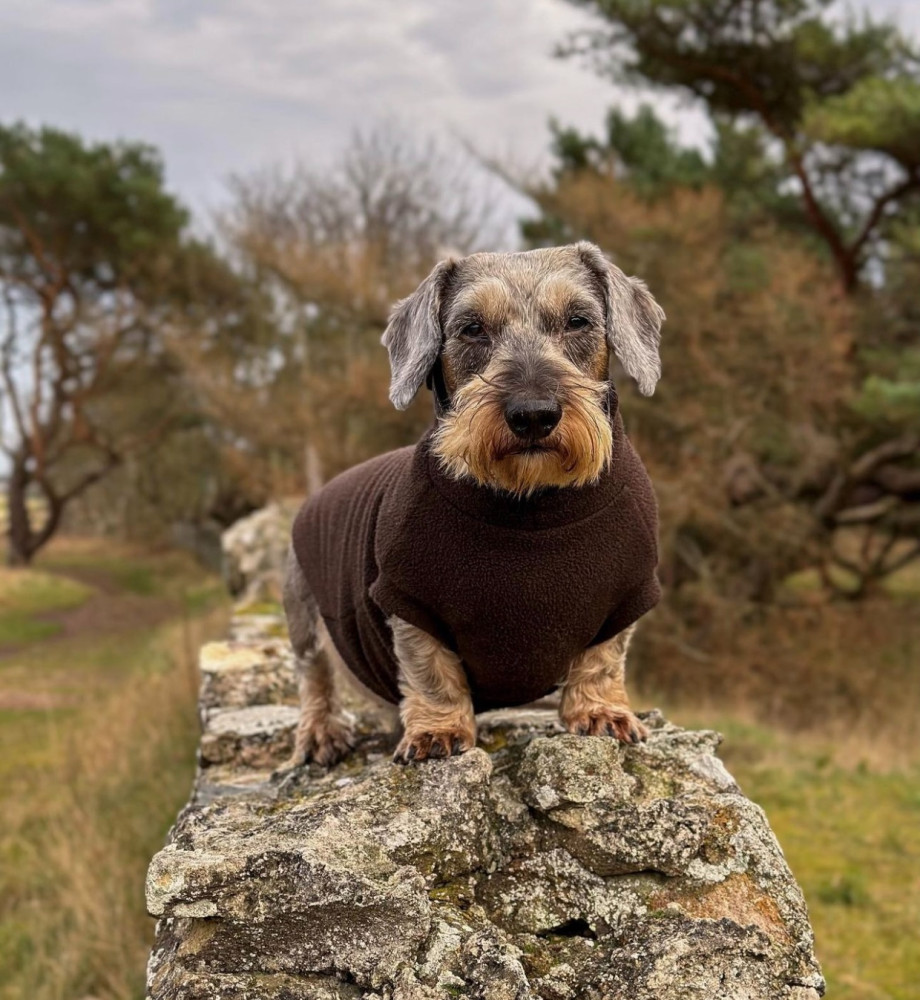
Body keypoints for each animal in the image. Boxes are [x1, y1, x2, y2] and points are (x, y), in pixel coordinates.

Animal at [284, 240, 664, 764]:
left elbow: (602, 660)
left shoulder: (626, 596)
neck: (530, 503)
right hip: (302, 607)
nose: (533, 415)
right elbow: (430, 671)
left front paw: (600, 711)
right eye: (471, 328)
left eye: (578, 321)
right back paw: (321, 733)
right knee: (315, 675)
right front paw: (437, 730)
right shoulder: (408, 601)